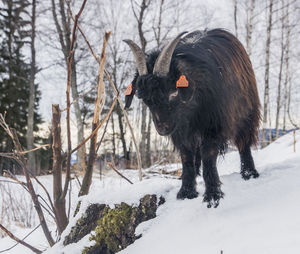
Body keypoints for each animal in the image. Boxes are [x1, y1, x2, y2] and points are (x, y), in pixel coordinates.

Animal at [123, 28, 260, 207]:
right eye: (144, 99)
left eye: (173, 92)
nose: (162, 128)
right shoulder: (180, 132)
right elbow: (186, 156)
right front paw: (186, 191)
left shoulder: (214, 125)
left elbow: (208, 156)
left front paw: (213, 196)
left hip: (246, 113)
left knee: (244, 143)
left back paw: (249, 173)